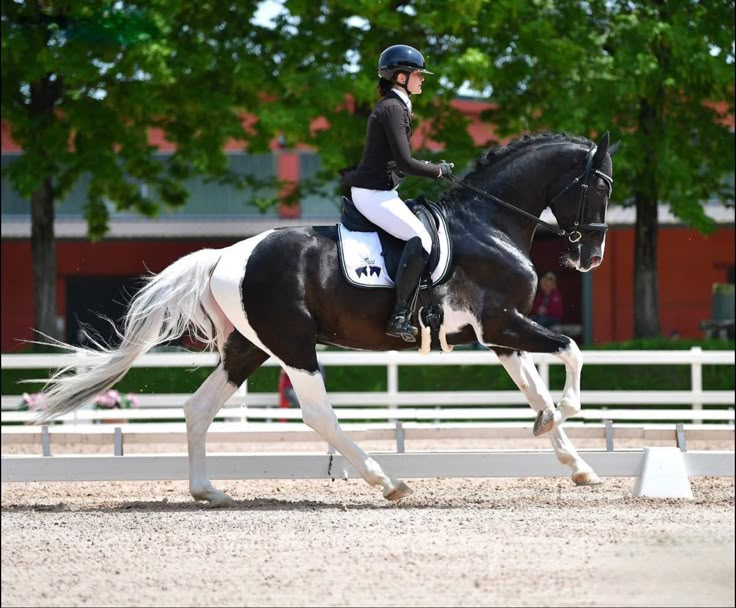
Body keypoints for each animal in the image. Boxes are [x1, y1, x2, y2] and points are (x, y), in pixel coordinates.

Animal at [37, 132, 620, 504]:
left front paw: (579, 465)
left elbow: (539, 391)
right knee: (319, 414)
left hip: (249, 348)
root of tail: (225, 255)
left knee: (198, 408)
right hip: (294, 345)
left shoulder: (501, 335)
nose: (592, 257)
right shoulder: (502, 323)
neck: (490, 223)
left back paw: (207, 492)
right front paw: (565, 415)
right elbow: (572, 353)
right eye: (600, 187)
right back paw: (387, 482)